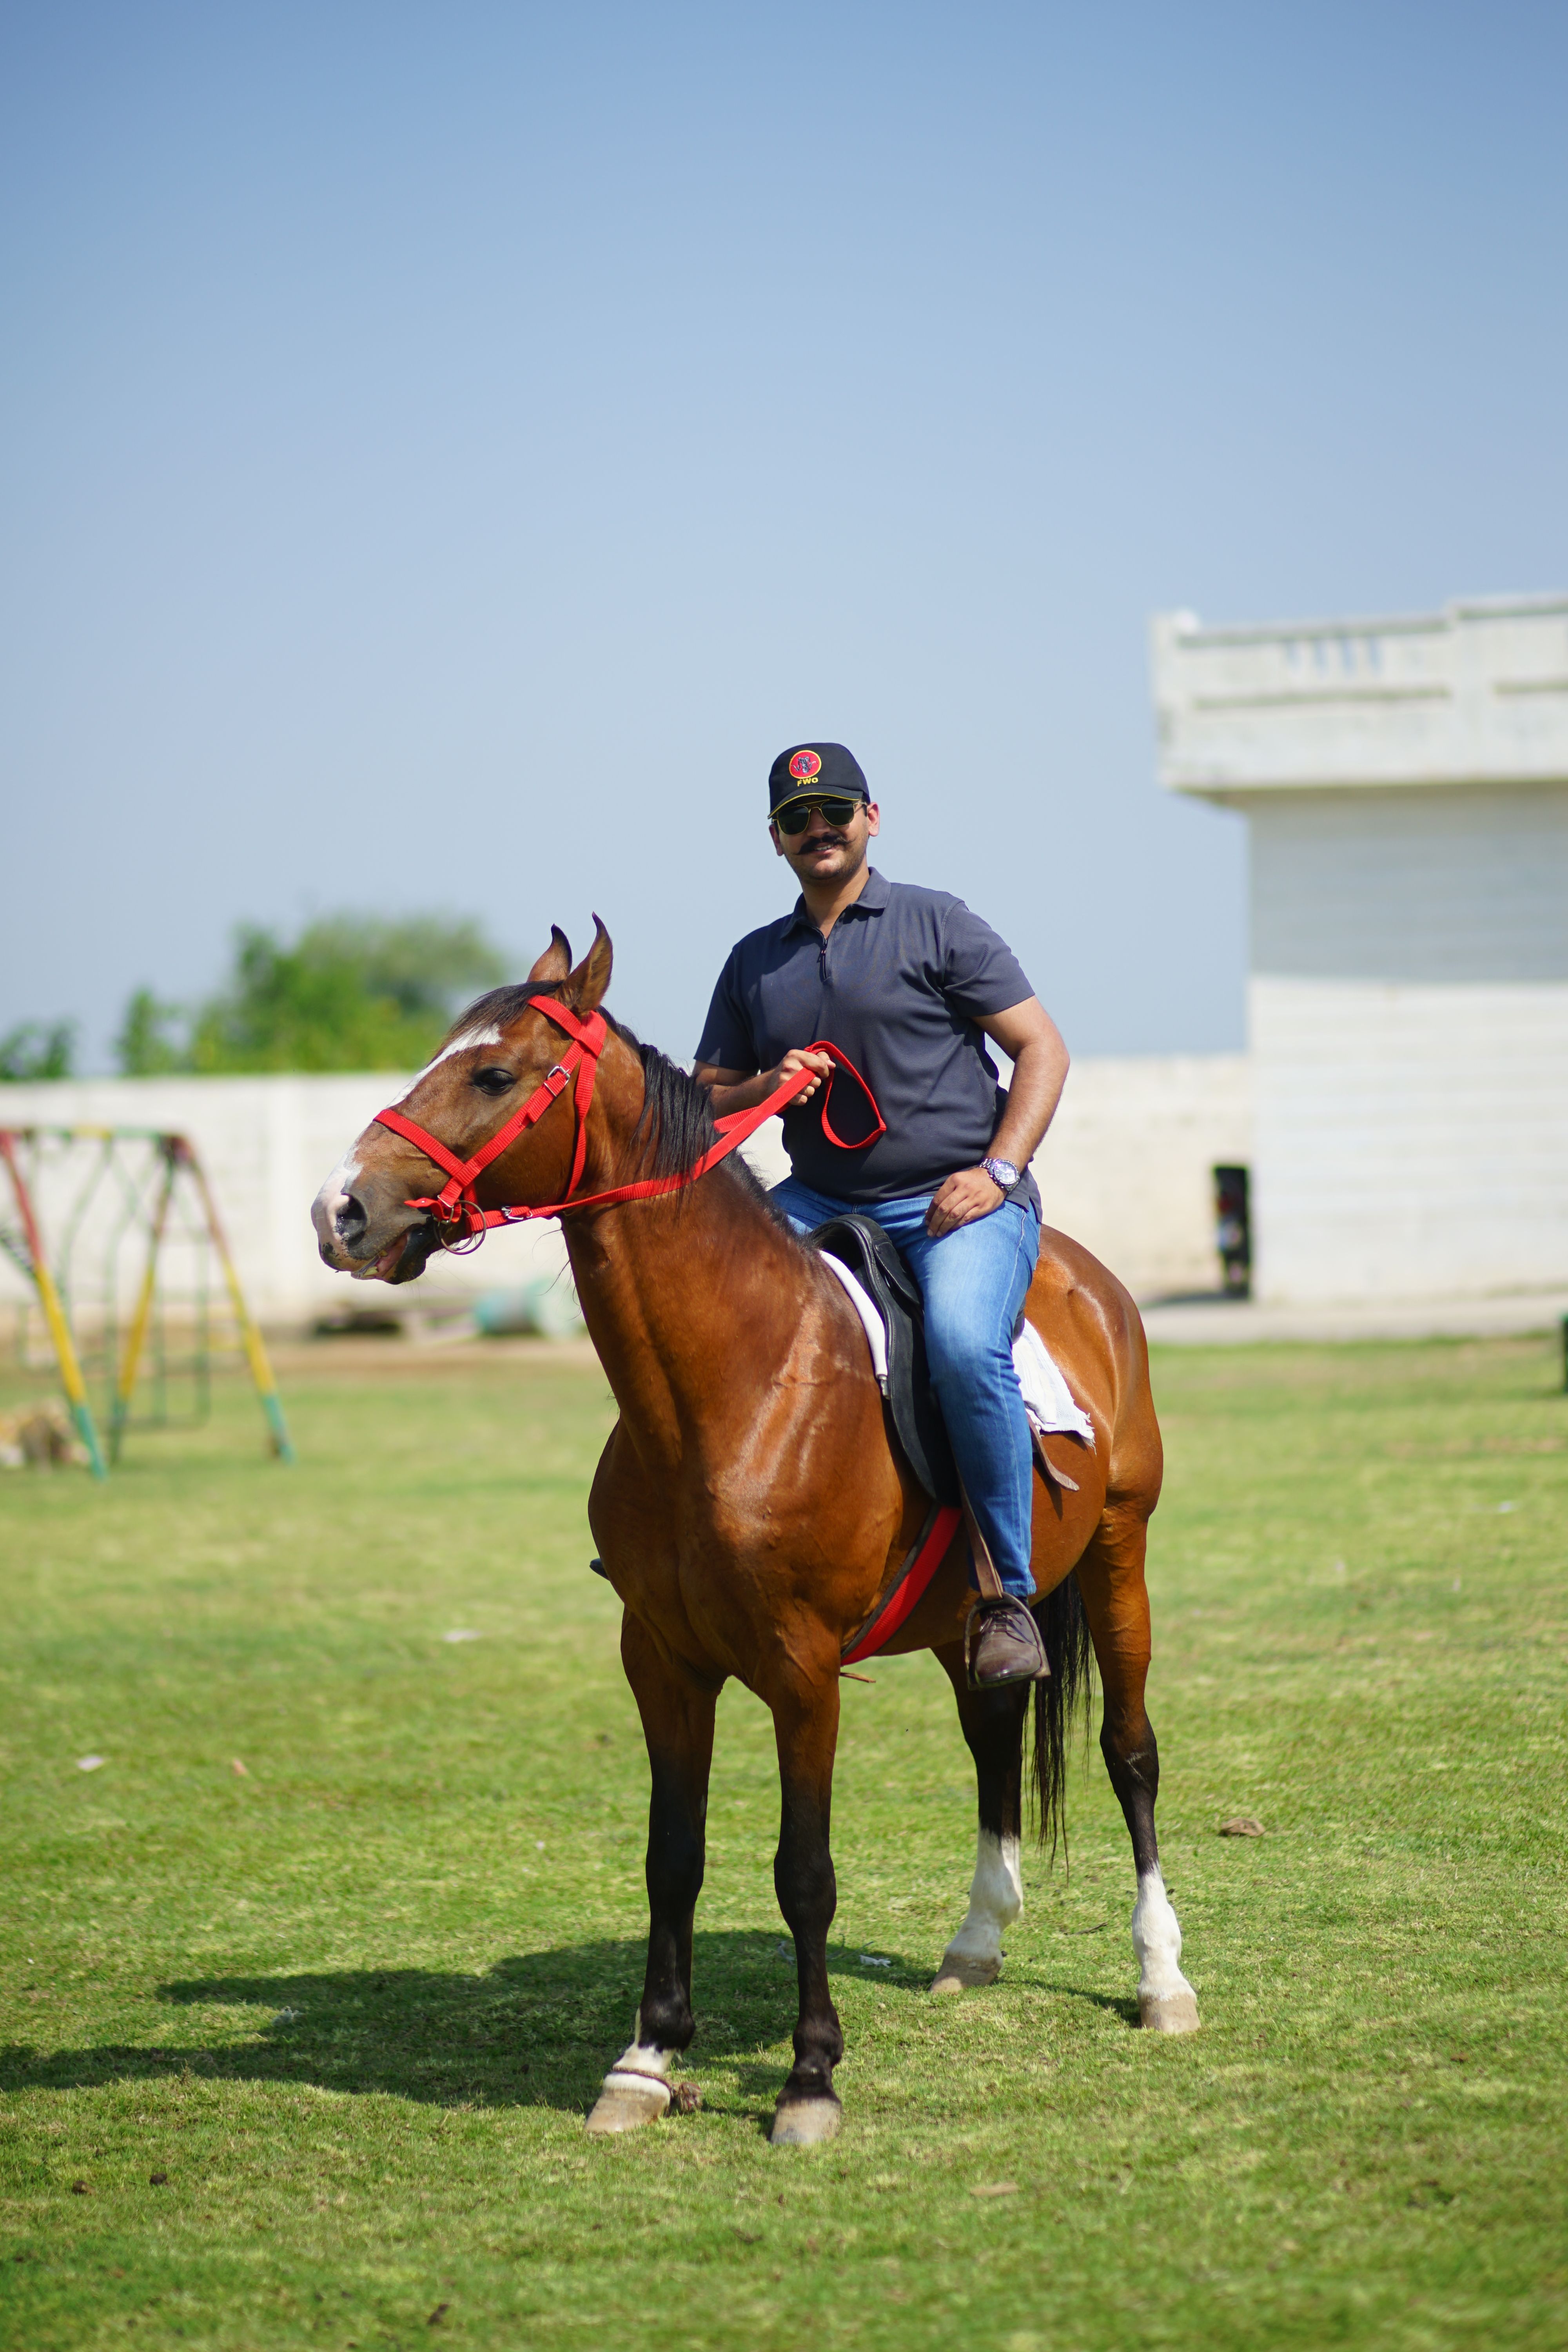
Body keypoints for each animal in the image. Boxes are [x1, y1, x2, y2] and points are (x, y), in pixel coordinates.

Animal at [311, 920, 1198, 2147]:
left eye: (493, 1075)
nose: (343, 1210)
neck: (736, 1388)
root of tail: (1087, 1280)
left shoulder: (801, 1669)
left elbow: (803, 1873)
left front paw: (809, 2078)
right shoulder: (662, 1660)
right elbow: (671, 1857)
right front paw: (644, 2060)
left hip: (1122, 1556)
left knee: (1130, 1752)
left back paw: (1162, 1977)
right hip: (966, 1619)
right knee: (992, 1734)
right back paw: (975, 1944)